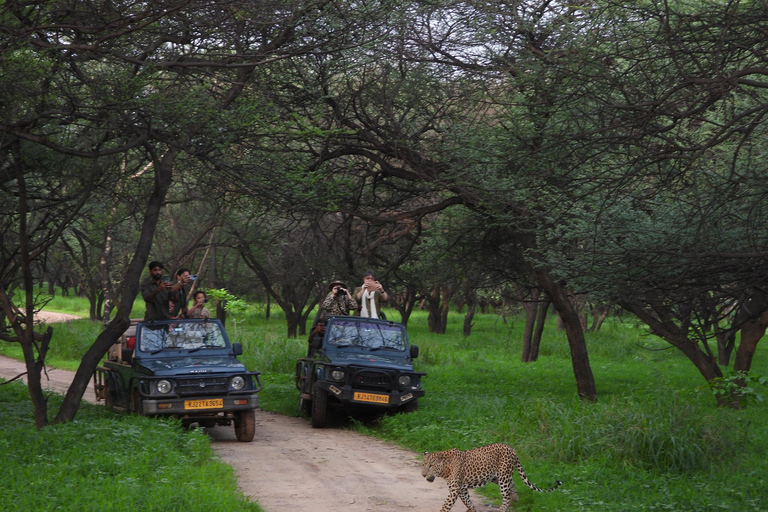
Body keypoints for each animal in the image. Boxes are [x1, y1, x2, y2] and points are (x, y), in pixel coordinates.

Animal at [424, 442, 560, 510]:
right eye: (423, 465)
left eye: (430, 466)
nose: (423, 474)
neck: (445, 469)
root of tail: (512, 449)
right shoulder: (462, 489)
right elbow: (468, 502)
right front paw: (472, 509)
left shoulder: (455, 490)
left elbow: (446, 505)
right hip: (497, 477)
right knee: (512, 485)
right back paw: (516, 498)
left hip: (503, 476)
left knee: (506, 497)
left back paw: (503, 508)